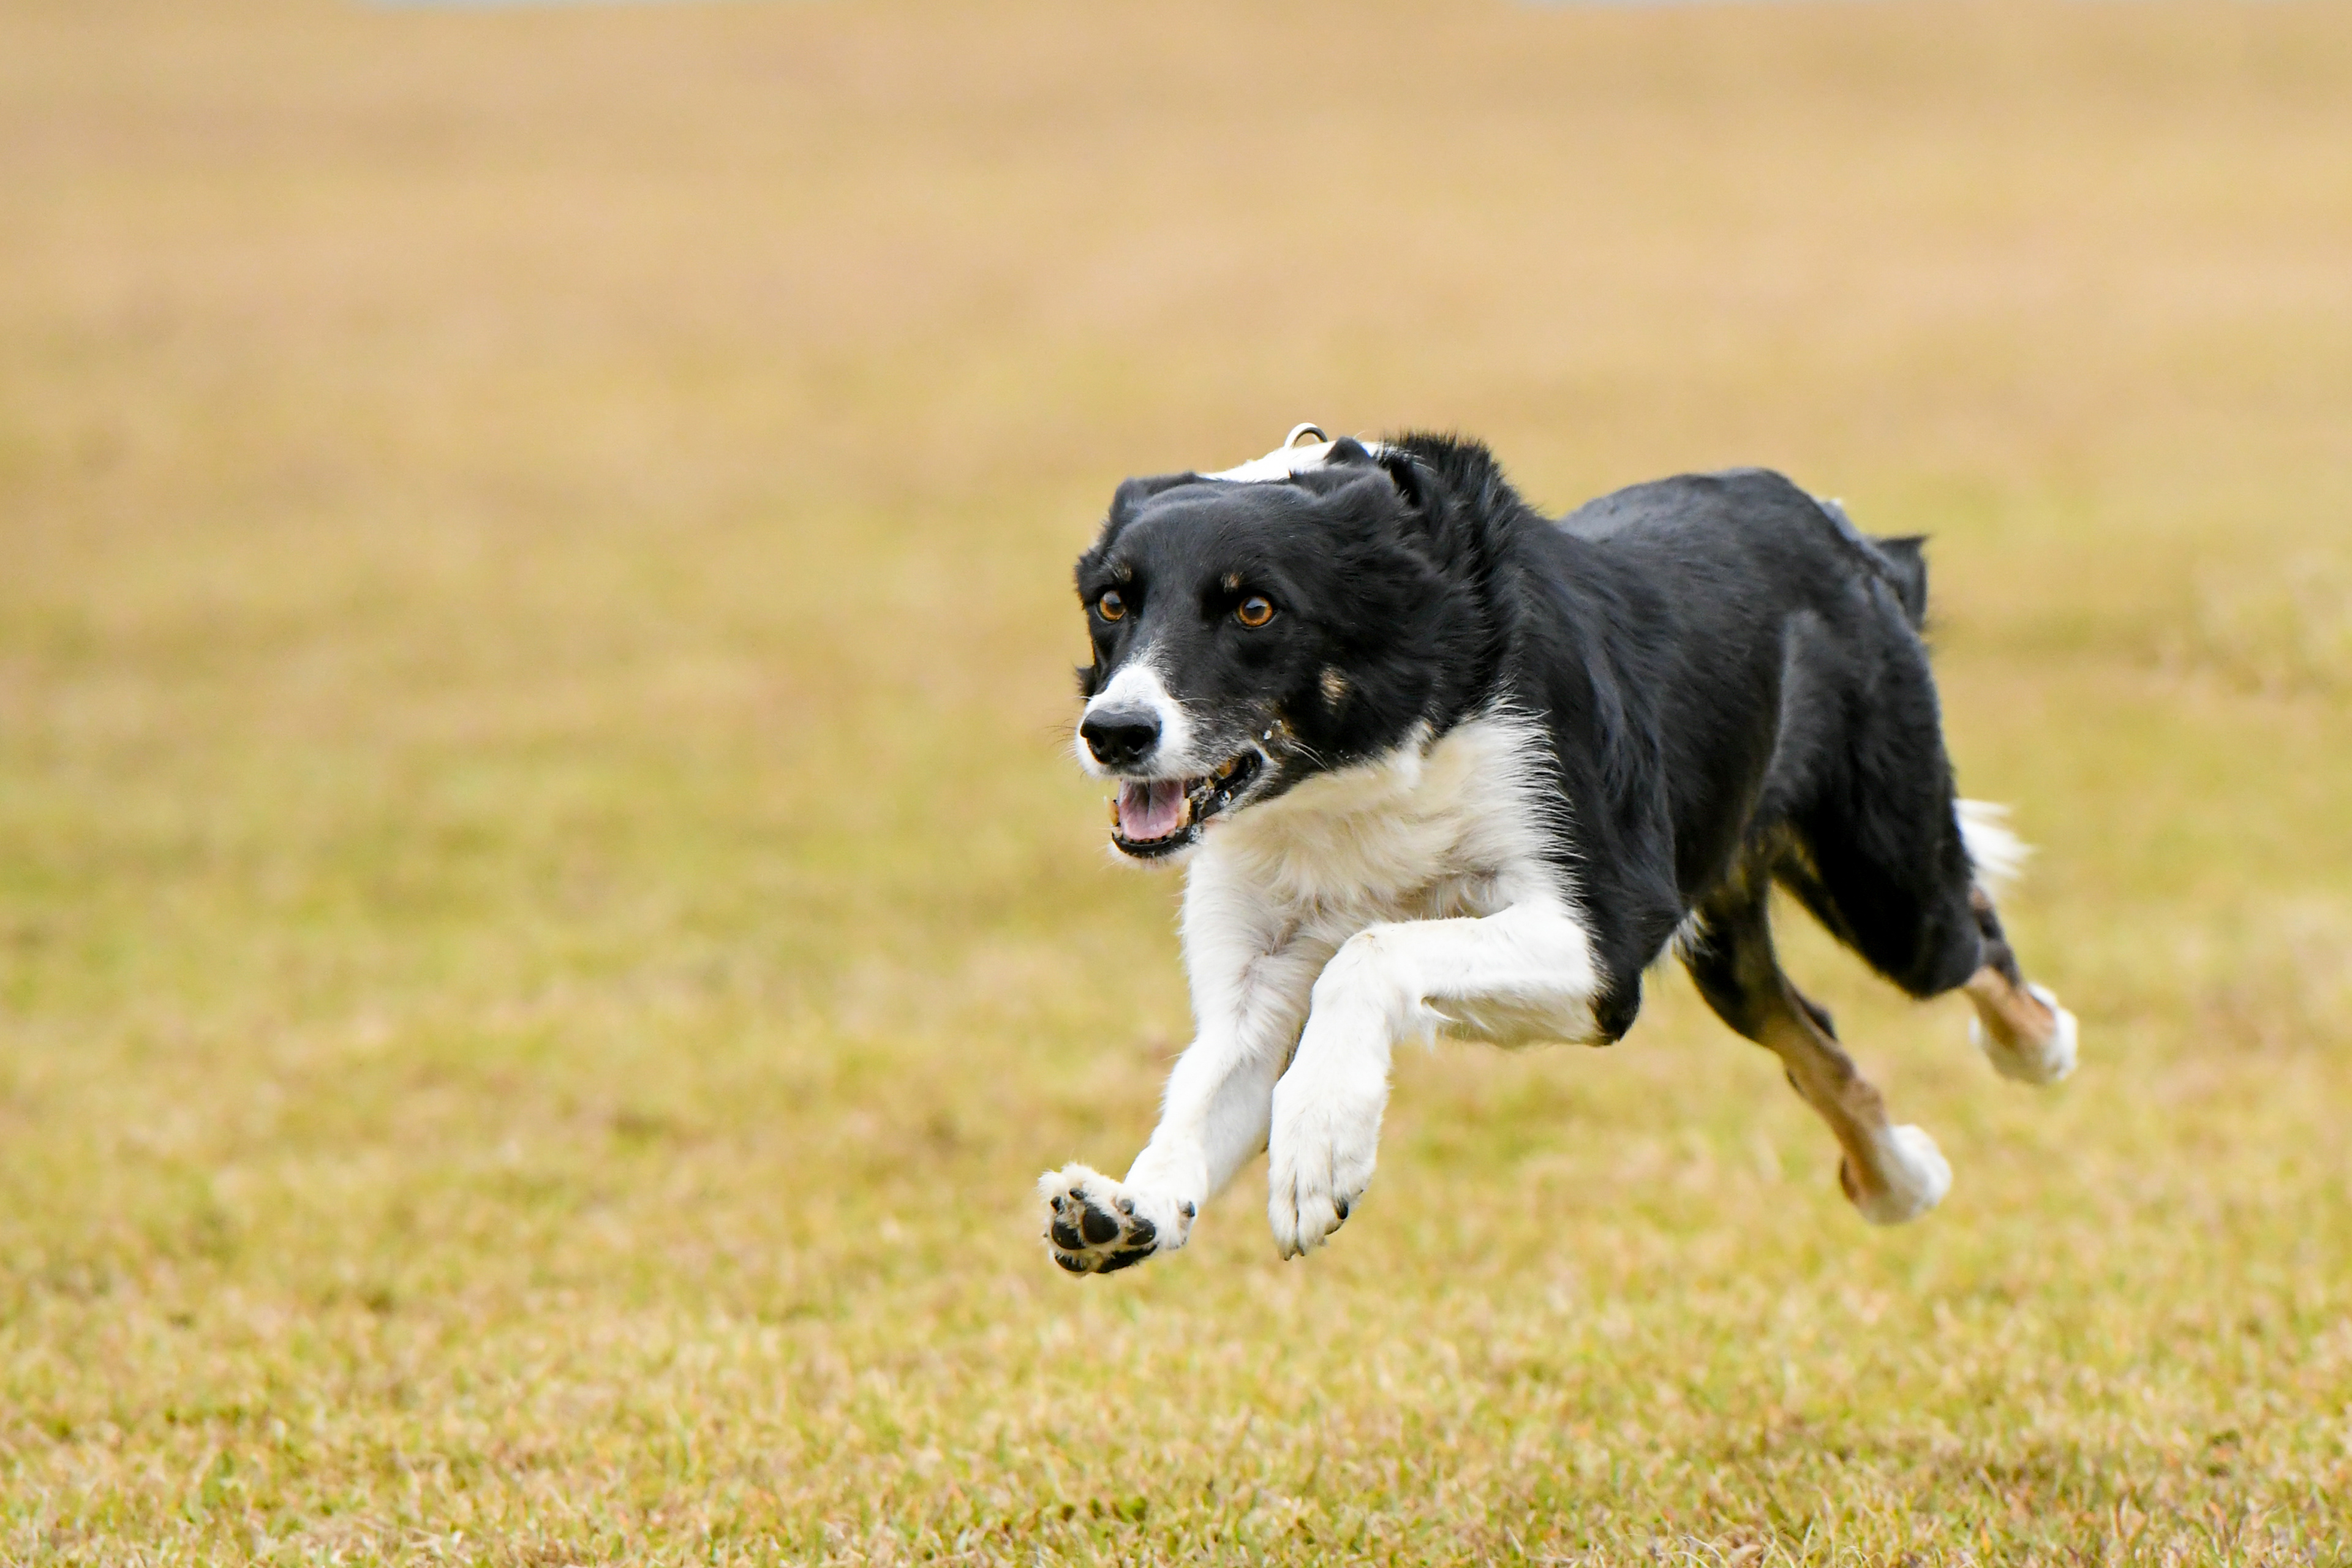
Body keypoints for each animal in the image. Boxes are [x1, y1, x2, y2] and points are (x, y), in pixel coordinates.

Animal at [1039, 426, 2076, 1274]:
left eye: (1255, 609)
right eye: (1111, 605)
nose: (1114, 733)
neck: (1355, 771)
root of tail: (1834, 525)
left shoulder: (1604, 945)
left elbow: (1370, 952)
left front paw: (1320, 1151)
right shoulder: (1259, 981)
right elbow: (1206, 1091)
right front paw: (1128, 1209)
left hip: (1887, 891)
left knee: (1972, 946)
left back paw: (2036, 1049)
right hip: (1734, 941)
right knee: (1810, 1031)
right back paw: (1903, 1181)